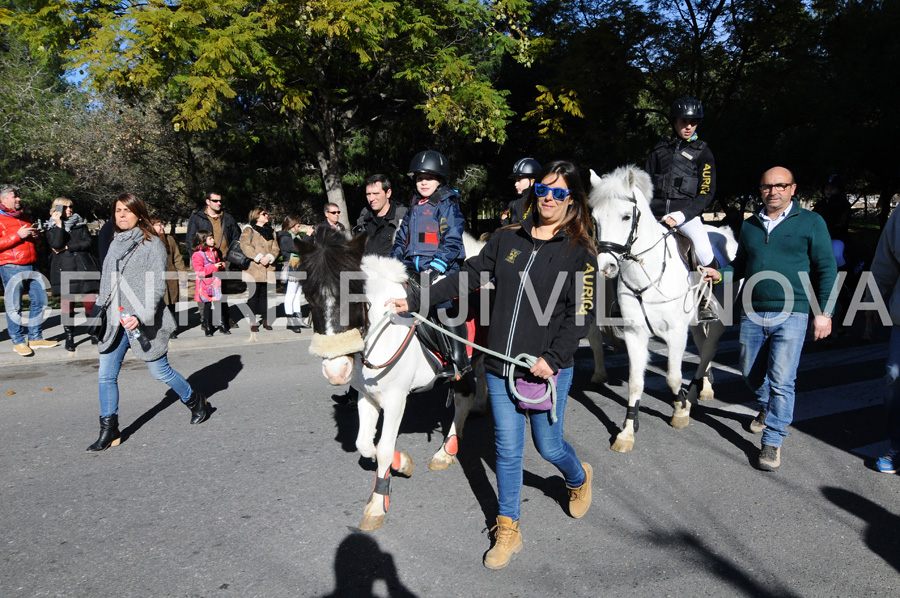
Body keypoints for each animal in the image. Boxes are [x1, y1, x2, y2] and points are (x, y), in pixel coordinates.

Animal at [298, 229, 486, 528]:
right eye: (308, 296)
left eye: (353, 295)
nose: (336, 371)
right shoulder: (367, 396)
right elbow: (365, 444)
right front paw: (404, 463)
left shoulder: (397, 399)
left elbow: (384, 449)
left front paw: (377, 504)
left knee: (464, 395)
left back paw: (446, 451)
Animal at [588, 166, 736, 452]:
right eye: (595, 219)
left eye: (626, 217)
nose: (606, 267)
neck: (648, 273)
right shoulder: (635, 334)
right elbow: (636, 382)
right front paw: (627, 432)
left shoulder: (676, 333)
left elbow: (672, 377)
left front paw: (679, 411)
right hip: (695, 322)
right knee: (703, 346)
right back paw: (703, 388)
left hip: (719, 317)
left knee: (710, 346)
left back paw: (695, 393)